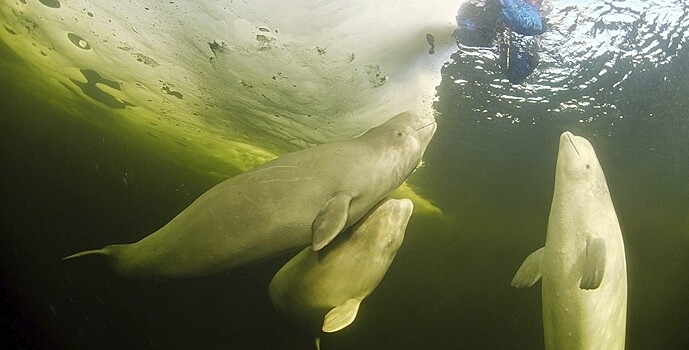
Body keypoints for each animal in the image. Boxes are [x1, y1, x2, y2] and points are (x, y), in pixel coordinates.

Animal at [268, 198, 408, 348]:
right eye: (390, 242)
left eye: (356, 223)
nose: (406, 203)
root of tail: (314, 335)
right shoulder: (355, 297)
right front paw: (329, 325)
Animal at [510, 132, 628, 350]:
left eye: (588, 167)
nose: (568, 134)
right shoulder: (548, 248)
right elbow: (535, 256)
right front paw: (518, 281)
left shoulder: (597, 236)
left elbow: (598, 252)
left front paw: (588, 284)